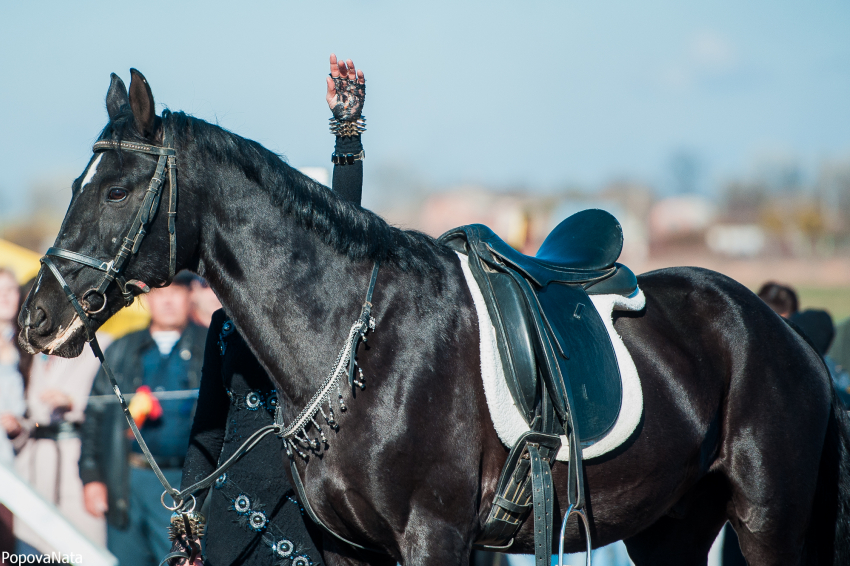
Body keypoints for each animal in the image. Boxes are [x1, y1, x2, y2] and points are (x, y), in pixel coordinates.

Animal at [18, 72, 848, 566]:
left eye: (117, 190)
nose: (37, 317)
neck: (361, 346)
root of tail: (787, 338)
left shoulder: (435, 535)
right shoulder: (349, 546)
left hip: (764, 520)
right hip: (669, 527)